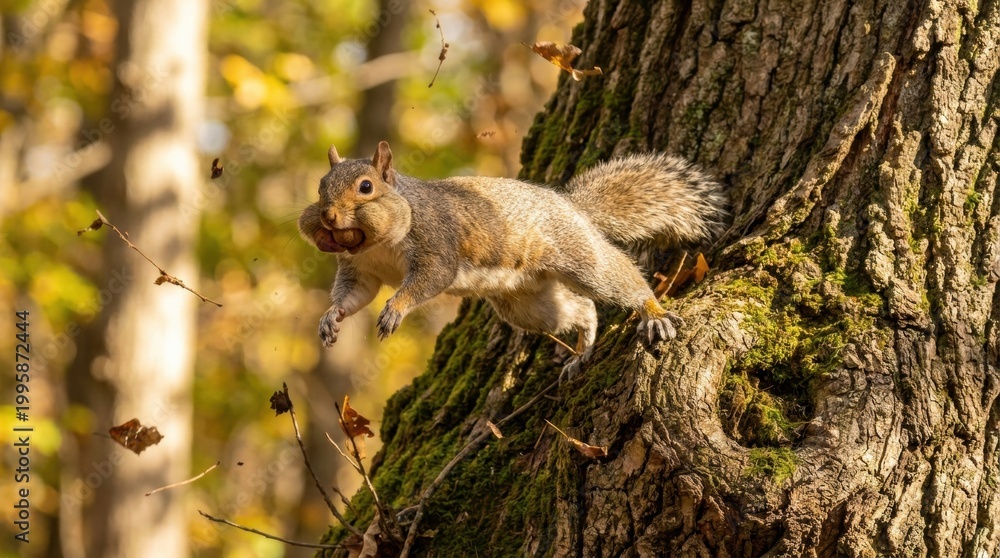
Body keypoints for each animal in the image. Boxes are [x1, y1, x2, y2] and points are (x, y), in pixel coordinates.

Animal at [298, 141, 728, 375]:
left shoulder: (436, 243)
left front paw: (396, 308)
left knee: (617, 281)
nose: (328, 216)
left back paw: (653, 314)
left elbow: (430, 279)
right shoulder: (360, 272)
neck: (376, 244)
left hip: (581, 259)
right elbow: (356, 296)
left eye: (366, 187)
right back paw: (584, 349)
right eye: (320, 186)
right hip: (528, 306)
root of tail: (574, 209)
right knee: (583, 309)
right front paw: (330, 319)